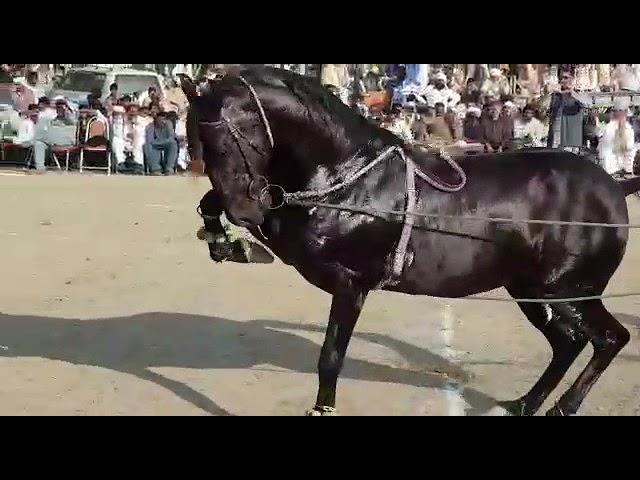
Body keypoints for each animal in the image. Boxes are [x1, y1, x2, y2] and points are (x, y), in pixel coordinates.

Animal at [180, 67, 640, 416]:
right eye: (199, 140)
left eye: (238, 134)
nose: (246, 210)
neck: (349, 174)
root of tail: (614, 186)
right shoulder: (289, 229)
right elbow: (216, 204)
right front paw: (226, 241)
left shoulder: (350, 283)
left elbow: (331, 357)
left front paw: (322, 409)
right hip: (531, 289)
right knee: (568, 343)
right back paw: (525, 404)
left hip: (567, 289)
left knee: (609, 339)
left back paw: (563, 406)